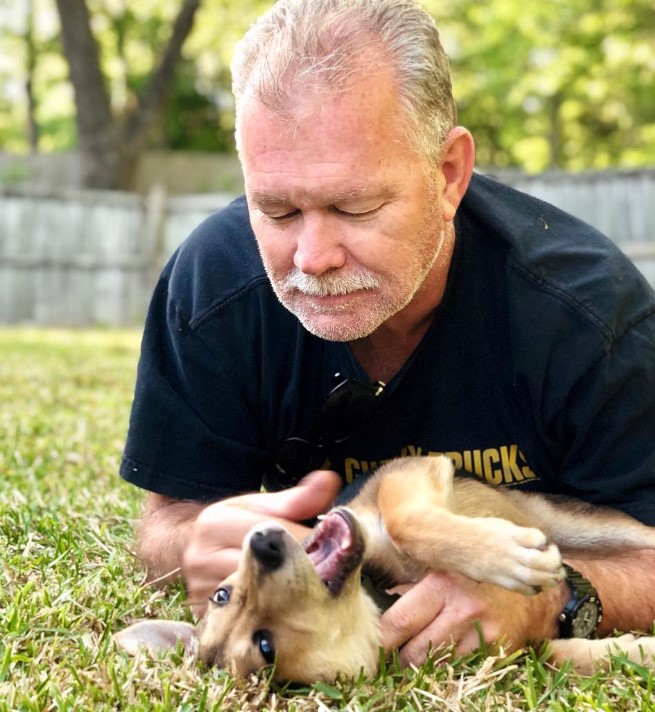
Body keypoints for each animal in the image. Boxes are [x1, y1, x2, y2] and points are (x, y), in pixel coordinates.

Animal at [115, 458, 655, 680]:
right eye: (265, 647)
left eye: (221, 593)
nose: (264, 542)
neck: (378, 590)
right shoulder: (520, 649)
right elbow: (559, 656)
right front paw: (636, 651)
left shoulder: (403, 475)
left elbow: (405, 520)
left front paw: (505, 556)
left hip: (577, 519)